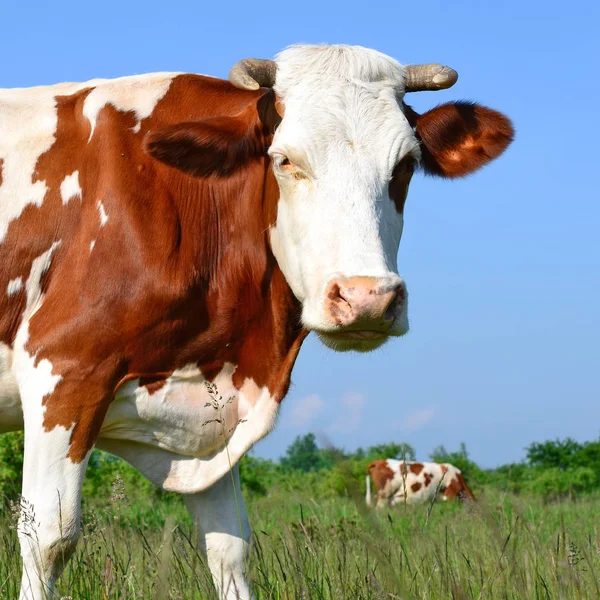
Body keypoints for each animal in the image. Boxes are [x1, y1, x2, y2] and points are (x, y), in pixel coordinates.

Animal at [0, 43, 510, 600]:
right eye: (285, 160)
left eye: (406, 164)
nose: (368, 298)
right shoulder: (63, 368)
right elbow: (49, 538)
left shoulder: (214, 409)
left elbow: (229, 546)